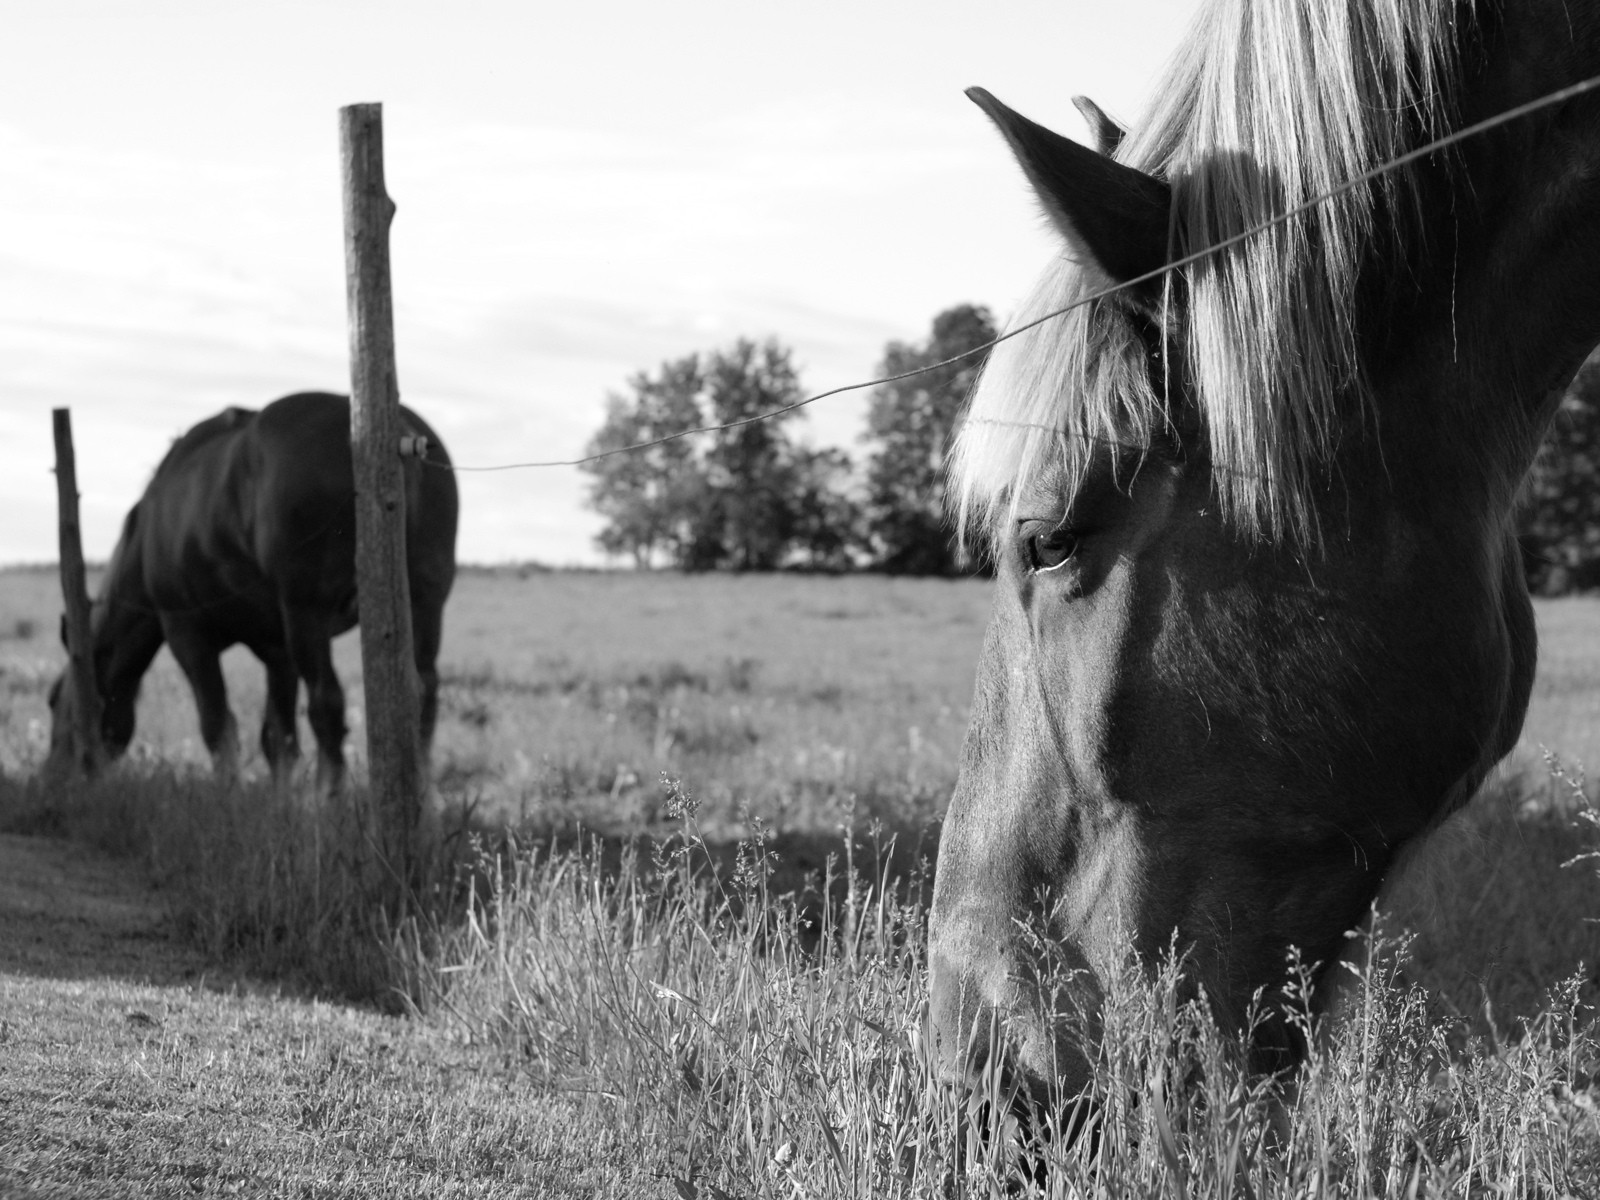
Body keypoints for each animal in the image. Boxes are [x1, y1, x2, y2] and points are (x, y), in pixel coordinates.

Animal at [46, 392, 459, 792]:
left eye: (53, 702)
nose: (53, 776)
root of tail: (397, 432)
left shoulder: (188, 635)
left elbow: (217, 725)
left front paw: (230, 796)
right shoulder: (279, 652)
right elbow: (278, 738)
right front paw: (281, 804)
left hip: (306, 613)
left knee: (327, 701)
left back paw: (329, 799)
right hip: (423, 605)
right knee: (423, 690)